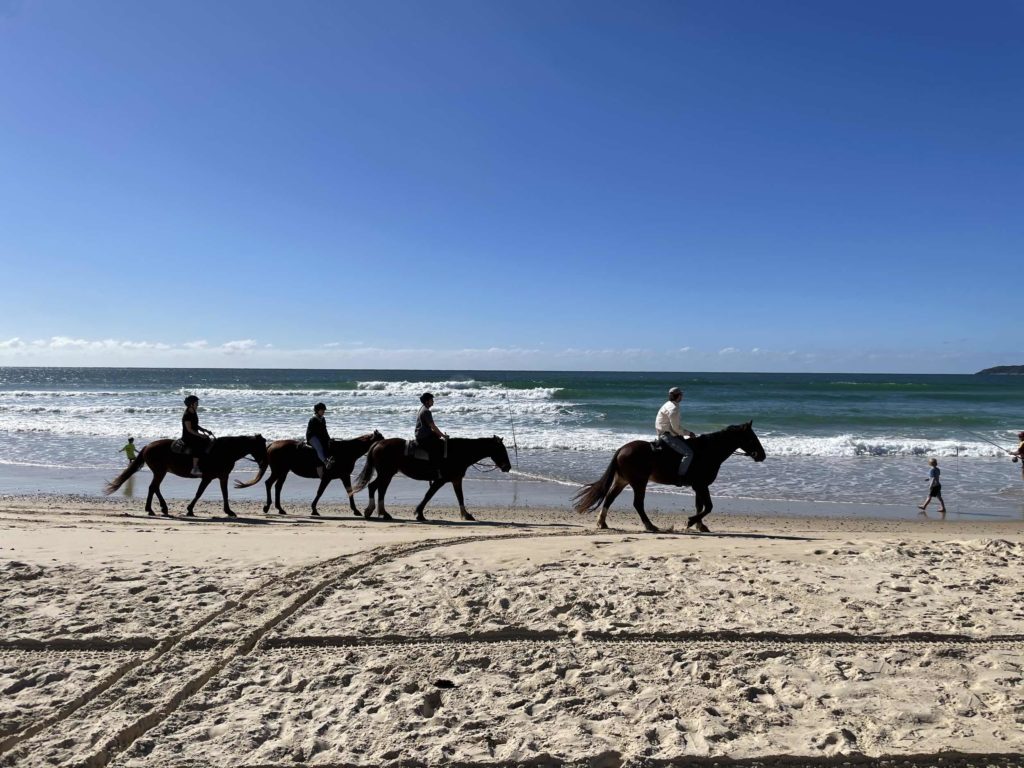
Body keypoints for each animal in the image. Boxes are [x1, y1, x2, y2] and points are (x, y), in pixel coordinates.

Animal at [105, 436, 268, 520]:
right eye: (261, 447)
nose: (264, 462)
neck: (224, 451)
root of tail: (148, 446)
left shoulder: (222, 477)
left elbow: (225, 494)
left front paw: (229, 511)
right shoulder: (208, 477)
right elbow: (199, 493)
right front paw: (190, 510)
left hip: (160, 472)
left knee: (154, 487)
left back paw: (159, 508)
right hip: (160, 471)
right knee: (153, 487)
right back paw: (153, 509)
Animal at [234, 434, 385, 518]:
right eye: (381, 438)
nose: (383, 446)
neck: (345, 451)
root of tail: (272, 445)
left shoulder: (344, 476)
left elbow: (349, 491)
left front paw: (356, 510)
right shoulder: (327, 478)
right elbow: (320, 492)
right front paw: (314, 509)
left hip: (283, 472)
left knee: (277, 486)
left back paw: (280, 508)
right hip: (279, 471)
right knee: (269, 484)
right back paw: (267, 507)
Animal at [352, 438, 512, 524]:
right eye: (501, 450)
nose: (508, 467)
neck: (459, 452)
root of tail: (378, 443)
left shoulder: (455, 479)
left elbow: (460, 496)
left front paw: (466, 514)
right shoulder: (440, 480)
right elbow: (428, 495)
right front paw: (419, 513)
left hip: (387, 473)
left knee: (378, 488)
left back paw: (381, 512)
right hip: (386, 473)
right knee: (375, 487)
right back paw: (375, 511)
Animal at [573, 421, 765, 536]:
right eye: (751, 438)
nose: (762, 455)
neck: (708, 451)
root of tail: (622, 448)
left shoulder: (698, 486)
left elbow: (700, 506)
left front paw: (700, 525)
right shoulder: (701, 485)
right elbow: (709, 506)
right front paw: (691, 521)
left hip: (623, 480)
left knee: (609, 498)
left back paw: (602, 523)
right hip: (639, 482)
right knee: (638, 504)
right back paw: (650, 526)